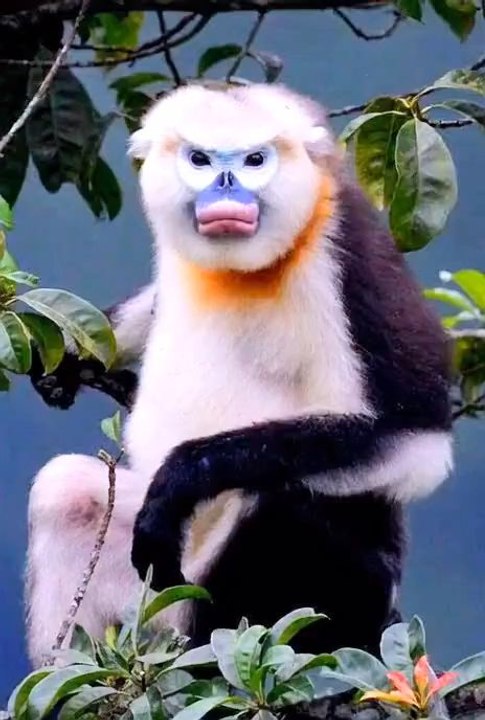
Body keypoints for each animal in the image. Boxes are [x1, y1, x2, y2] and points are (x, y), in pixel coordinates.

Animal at [25, 82, 453, 668]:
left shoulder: (350, 255)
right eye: (200, 160)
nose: (225, 187)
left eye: (254, 161)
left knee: (281, 499)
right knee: (66, 492)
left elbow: (416, 433)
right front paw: (69, 358)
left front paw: (181, 479)